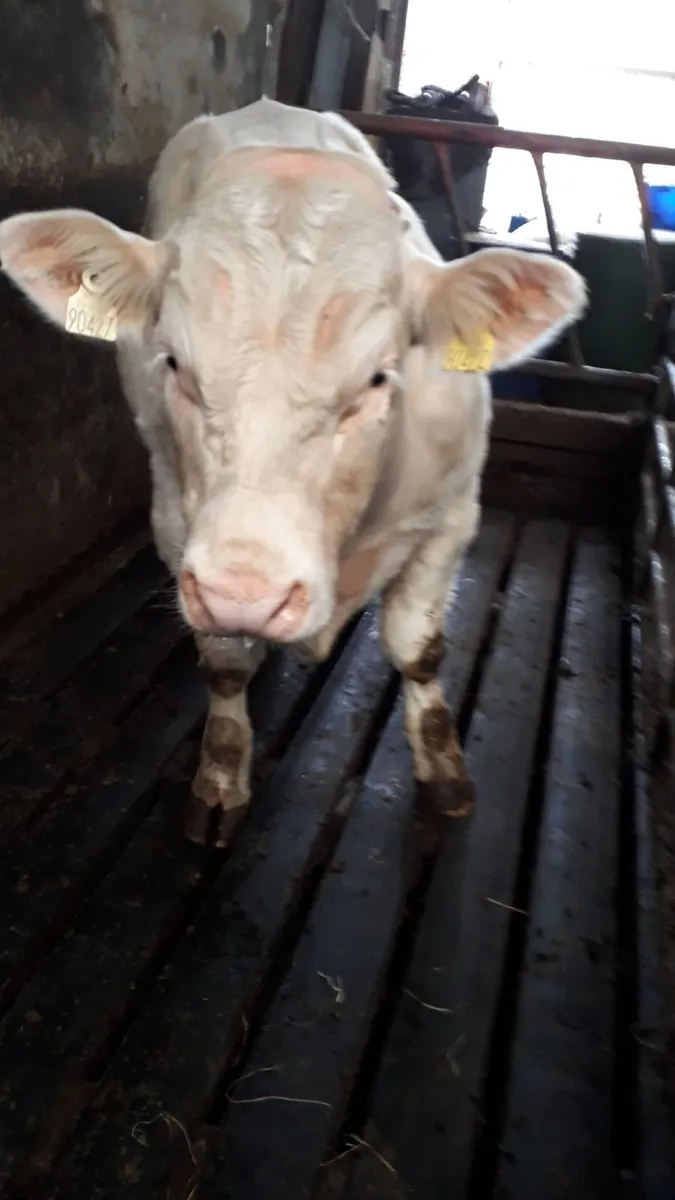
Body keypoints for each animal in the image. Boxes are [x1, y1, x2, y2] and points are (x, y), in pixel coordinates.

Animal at [0, 98, 586, 846]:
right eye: (174, 365)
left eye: (377, 378)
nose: (247, 594)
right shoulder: (177, 524)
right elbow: (224, 665)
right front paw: (221, 778)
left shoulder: (451, 518)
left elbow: (417, 649)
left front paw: (445, 772)